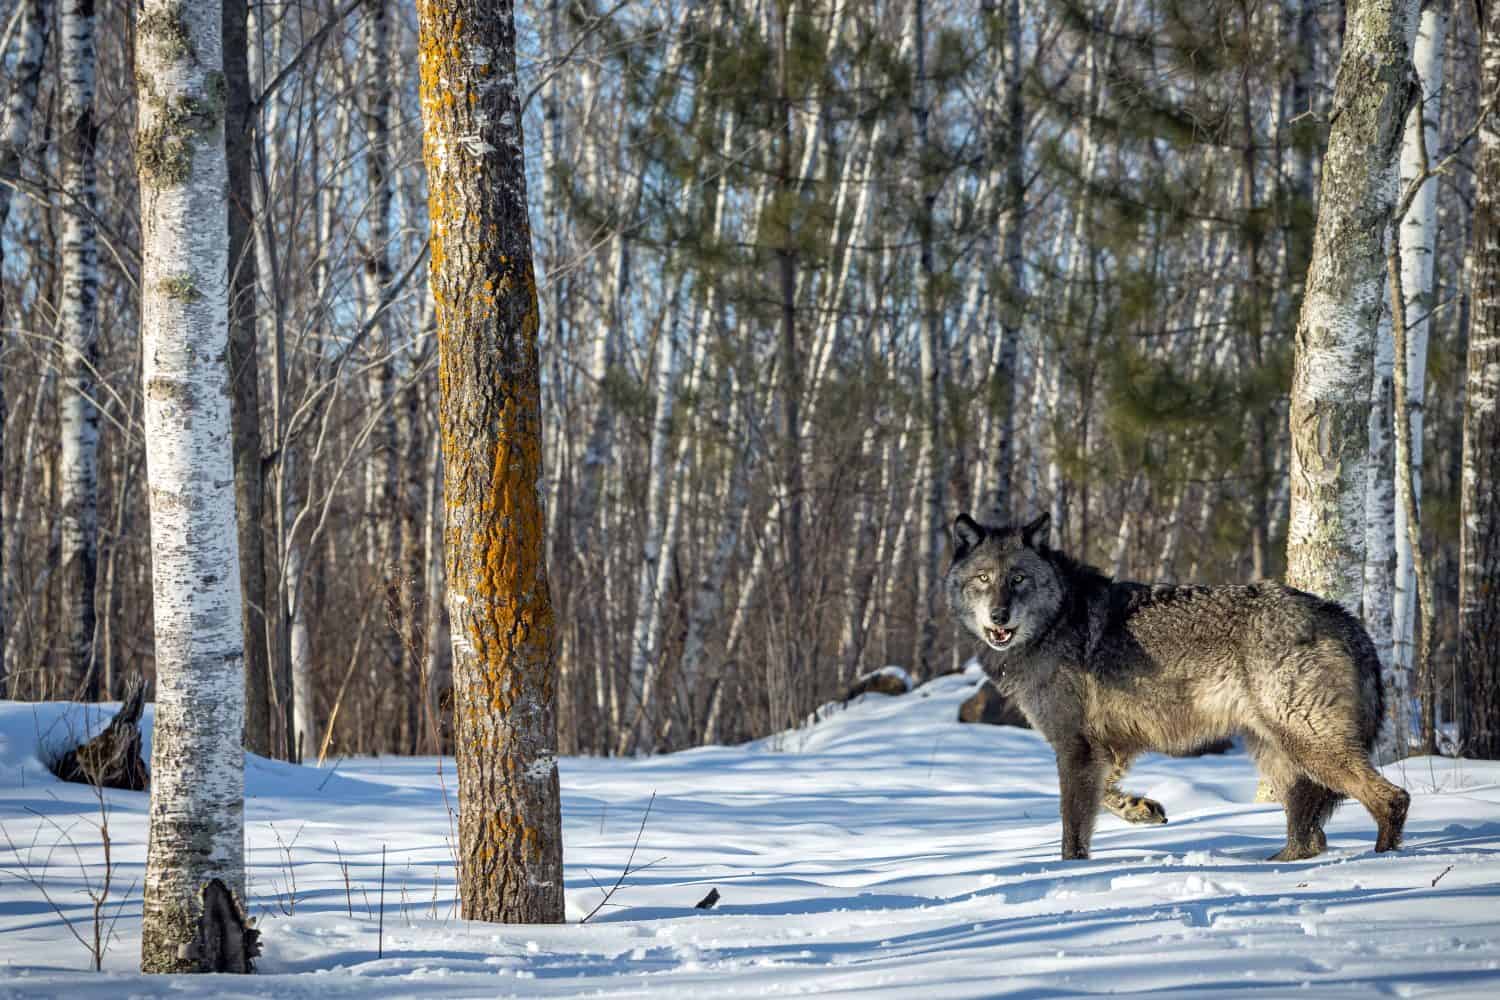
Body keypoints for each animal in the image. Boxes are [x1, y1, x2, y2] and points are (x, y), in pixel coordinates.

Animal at [945, 512, 1409, 862]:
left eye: (1018, 579)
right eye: (983, 579)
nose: (999, 615)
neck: (1056, 620)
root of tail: (1344, 618)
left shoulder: (1075, 748)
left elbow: (1072, 831)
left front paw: (1071, 872)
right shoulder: (1106, 748)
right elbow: (1106, 795)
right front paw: (1141, 809)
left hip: (1308, 745)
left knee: (1392, 798)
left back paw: (1383, 860)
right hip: (1276, 756)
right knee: (1311, 837)